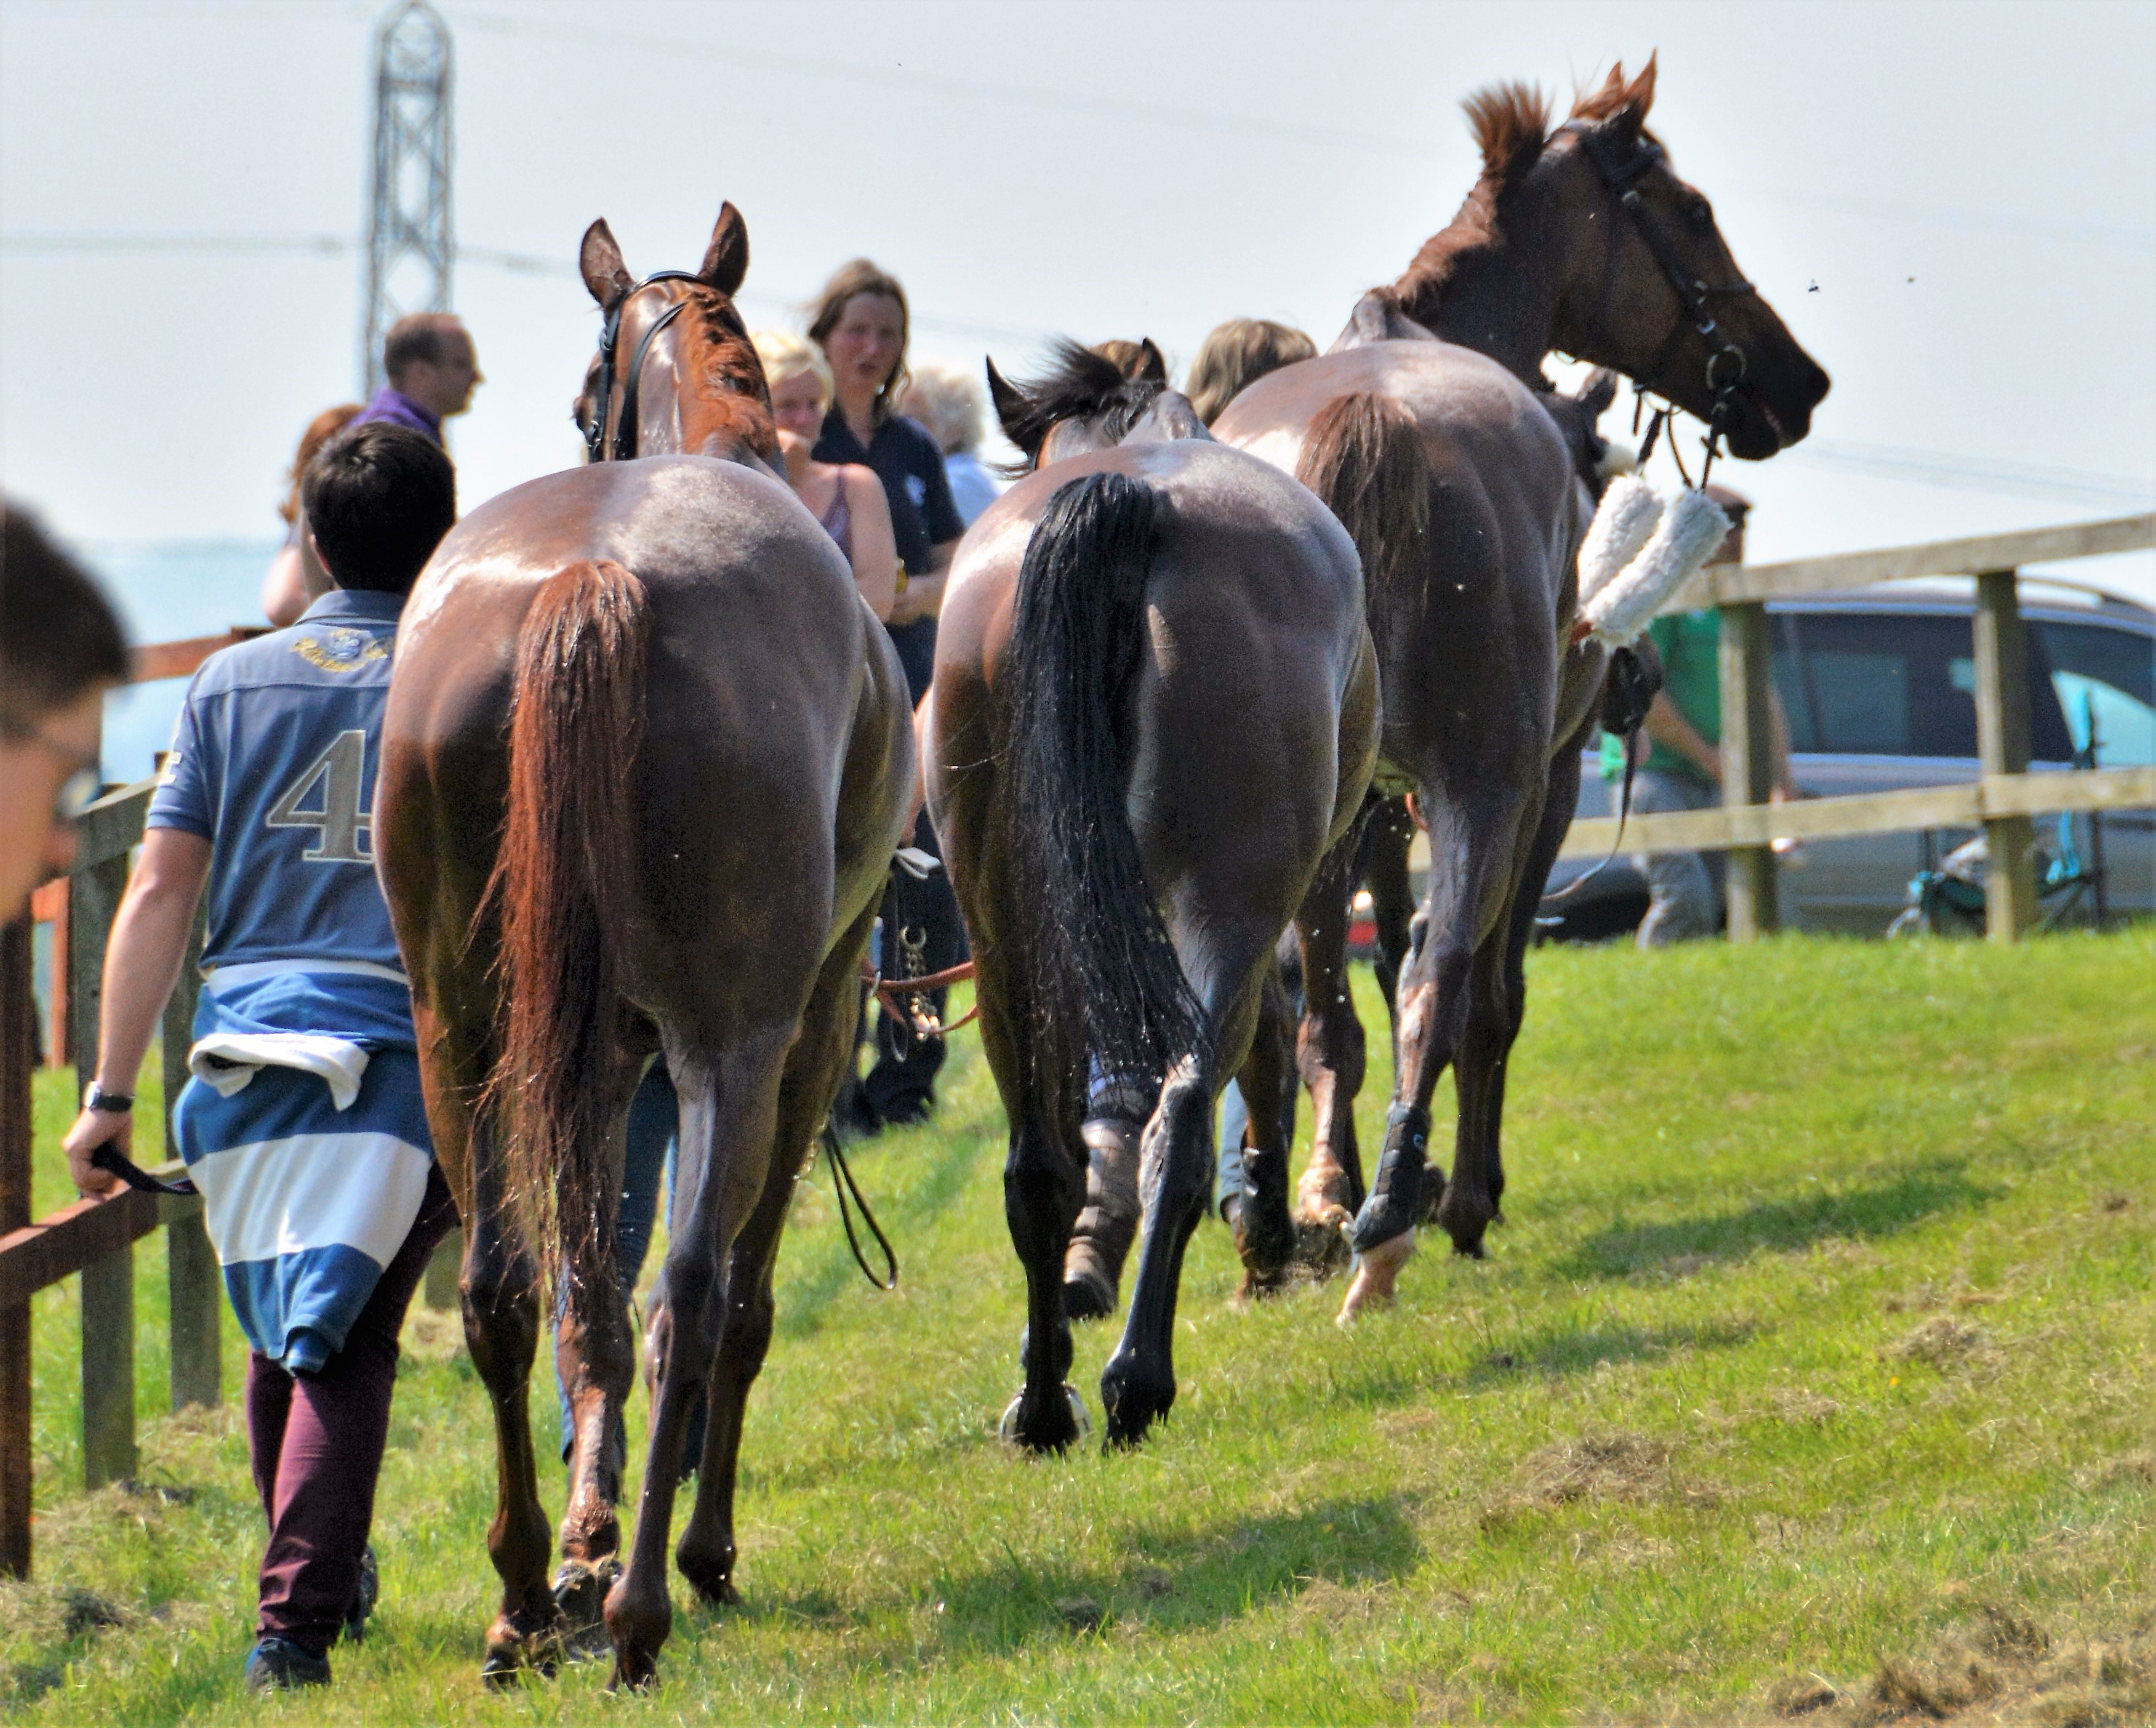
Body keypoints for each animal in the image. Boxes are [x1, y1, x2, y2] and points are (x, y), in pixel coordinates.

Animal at [375, 198, 914, 1674]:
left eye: (577, 394)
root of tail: (592, 575)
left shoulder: (603, 1051)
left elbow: (590, 1299)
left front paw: (589, 1532)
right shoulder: (811, 1025)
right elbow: (725, 1295)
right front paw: (682, 1539)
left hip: (463, 1024)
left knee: (509, 1288)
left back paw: (526, 1594)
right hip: (736, 1044)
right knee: (699, 1284)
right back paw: (648, 1602)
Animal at [931, 336, 1379, 1441]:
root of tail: (1131, 499)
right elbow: (1267, 1049)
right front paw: (1268, 1232)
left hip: (1003, 931)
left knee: (1040, 1164)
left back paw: (1041, 1402)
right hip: (1228, 900)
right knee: (1179, 1114)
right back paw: (1136, 1376)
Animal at [1216, 60, 1819, 1311]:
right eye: (1692, 211)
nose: (1797, 383)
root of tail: (1372, 419)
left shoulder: (1380, 810)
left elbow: (1354, 984)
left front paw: (1332, 1184)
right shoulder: (1544, 778)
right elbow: (1489, 994)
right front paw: (1465, 1190)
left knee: (1301, 1000)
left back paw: (1295, 1209)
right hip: (1492, 784)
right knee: (1439, 979)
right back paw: (1391, 1215)